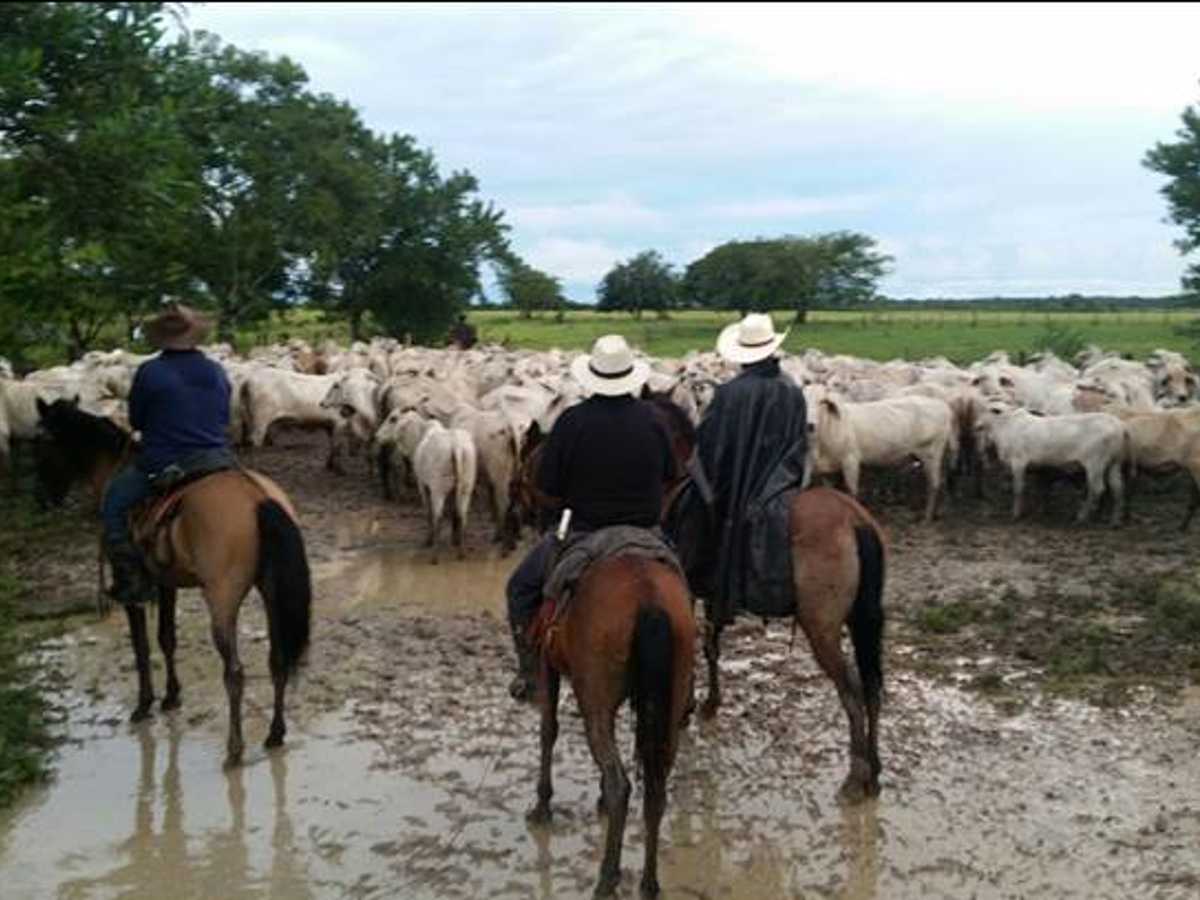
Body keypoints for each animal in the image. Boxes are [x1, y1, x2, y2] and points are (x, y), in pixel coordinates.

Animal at [35, 400, 312, 768]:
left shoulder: (133, 593)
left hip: (222, 598)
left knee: (235, 672)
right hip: (270, 591)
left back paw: (235, 748)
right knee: (277, 660)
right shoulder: (166, 583)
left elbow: (141, 648)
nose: (41, 499)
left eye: (41, 445)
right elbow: (167, 638)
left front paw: (144, 704)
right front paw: (171, 697)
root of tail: (257, 497)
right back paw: (275, 734)